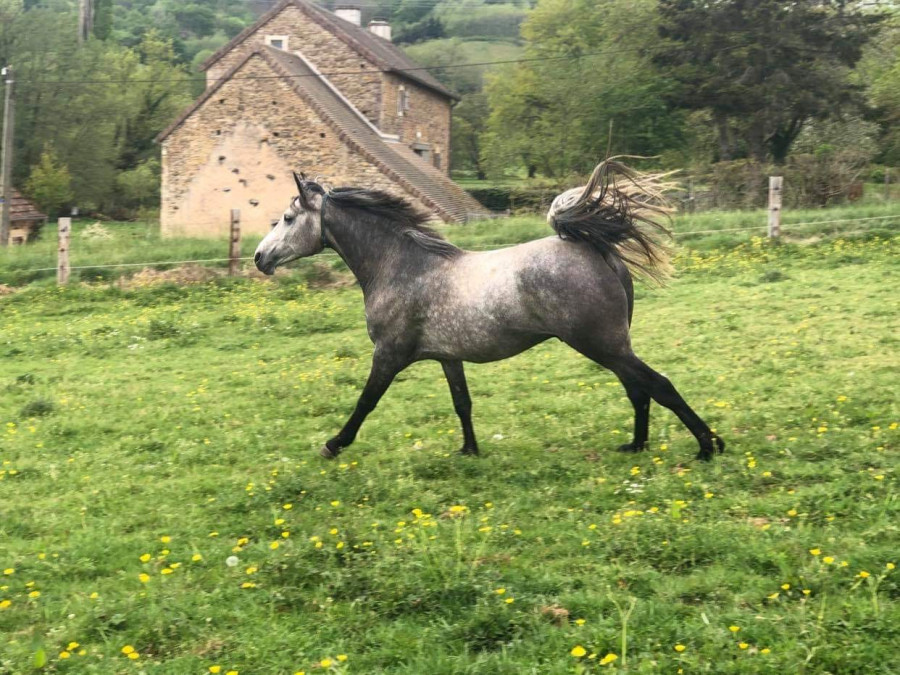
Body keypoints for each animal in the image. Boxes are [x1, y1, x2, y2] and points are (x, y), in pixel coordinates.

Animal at [253, 160, 725, 462]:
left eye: (287, 218)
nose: (260, 258)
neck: (403, 266)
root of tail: (600, 251)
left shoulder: (389, 354)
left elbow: (366, 401)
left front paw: (333, 444)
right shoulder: (448, 357)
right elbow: (462, 403)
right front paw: (469, 450)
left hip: (602, 344)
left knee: (658, 385)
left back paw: (708, 446)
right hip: (609, 347)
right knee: (638, 390)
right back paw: (636, 446)